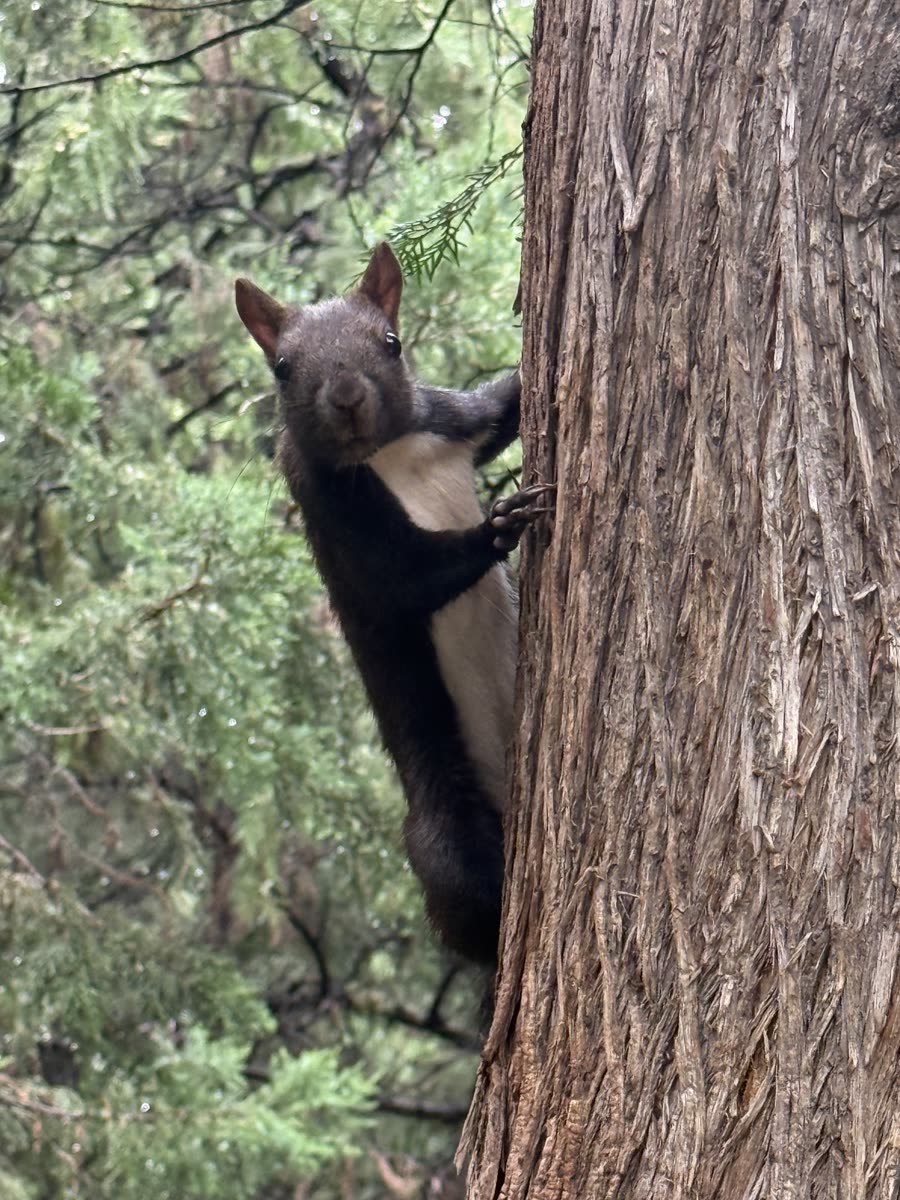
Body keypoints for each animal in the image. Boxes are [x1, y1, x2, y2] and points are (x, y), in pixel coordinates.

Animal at [235, 243, 551, 963]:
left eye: (391, 341)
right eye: (282, 367)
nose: (348, 397)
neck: (392, 453)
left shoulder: (454, 423)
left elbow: (504, 406)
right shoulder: (340, 518)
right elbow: (409, 579)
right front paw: (500, 524)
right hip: (446, 823)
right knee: (469, 910)